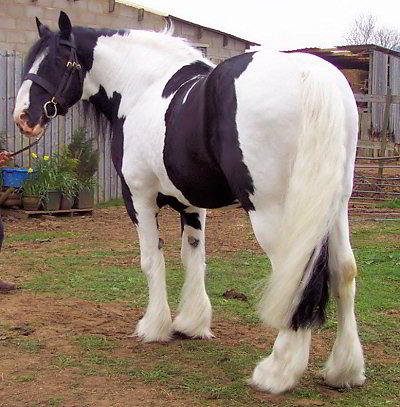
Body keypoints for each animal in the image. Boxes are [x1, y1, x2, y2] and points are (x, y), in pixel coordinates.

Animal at [13, 11, 366, 396]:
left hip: (274, 211)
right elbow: (193, 257)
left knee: (296, 273)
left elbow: (152, 260)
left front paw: (154, 327)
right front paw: (191, 324)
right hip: (333, 205)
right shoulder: (192, 204)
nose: (23, 117)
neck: (141, 88)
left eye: (58, 60)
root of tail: (311, 76)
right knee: (343, 271)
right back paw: (343, 370)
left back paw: (277, 372)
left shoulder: (138, 198)